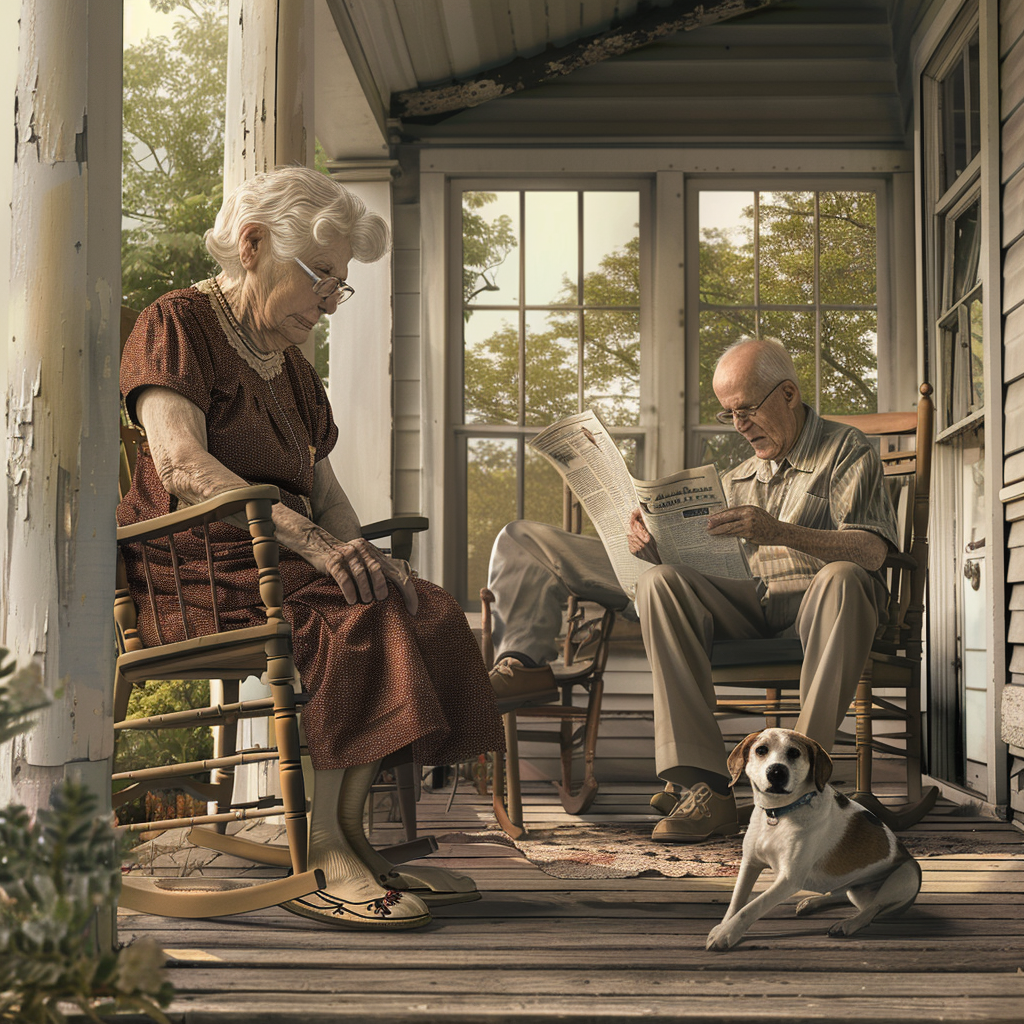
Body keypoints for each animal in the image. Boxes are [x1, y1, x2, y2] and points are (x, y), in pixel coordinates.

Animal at [704, 729, 921, 950]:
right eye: (761, 750)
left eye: (794, 752)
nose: (776, 771)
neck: (778, 814)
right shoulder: (750, 863)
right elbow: (736, 902)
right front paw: (723, 926)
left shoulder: (789, 878)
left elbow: (753, 906)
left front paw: (725, 934)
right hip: (856, 890)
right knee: (843, 894)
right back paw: (812, 903)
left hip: (907, 874)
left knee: (871, 910)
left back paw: (848, 924)